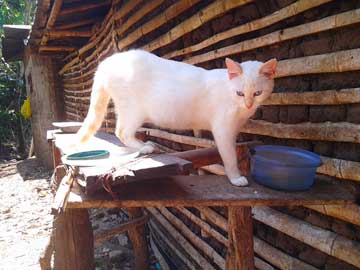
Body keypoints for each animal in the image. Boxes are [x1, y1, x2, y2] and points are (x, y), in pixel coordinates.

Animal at [77, 50, 278, 186]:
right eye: (240, 93)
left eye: (258, 93)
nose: (249, 104)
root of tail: (108, 61)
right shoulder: (223, 130)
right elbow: (229, 157)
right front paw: (235, 178)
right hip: (134, 110)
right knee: (121, 131)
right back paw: (144, 147)